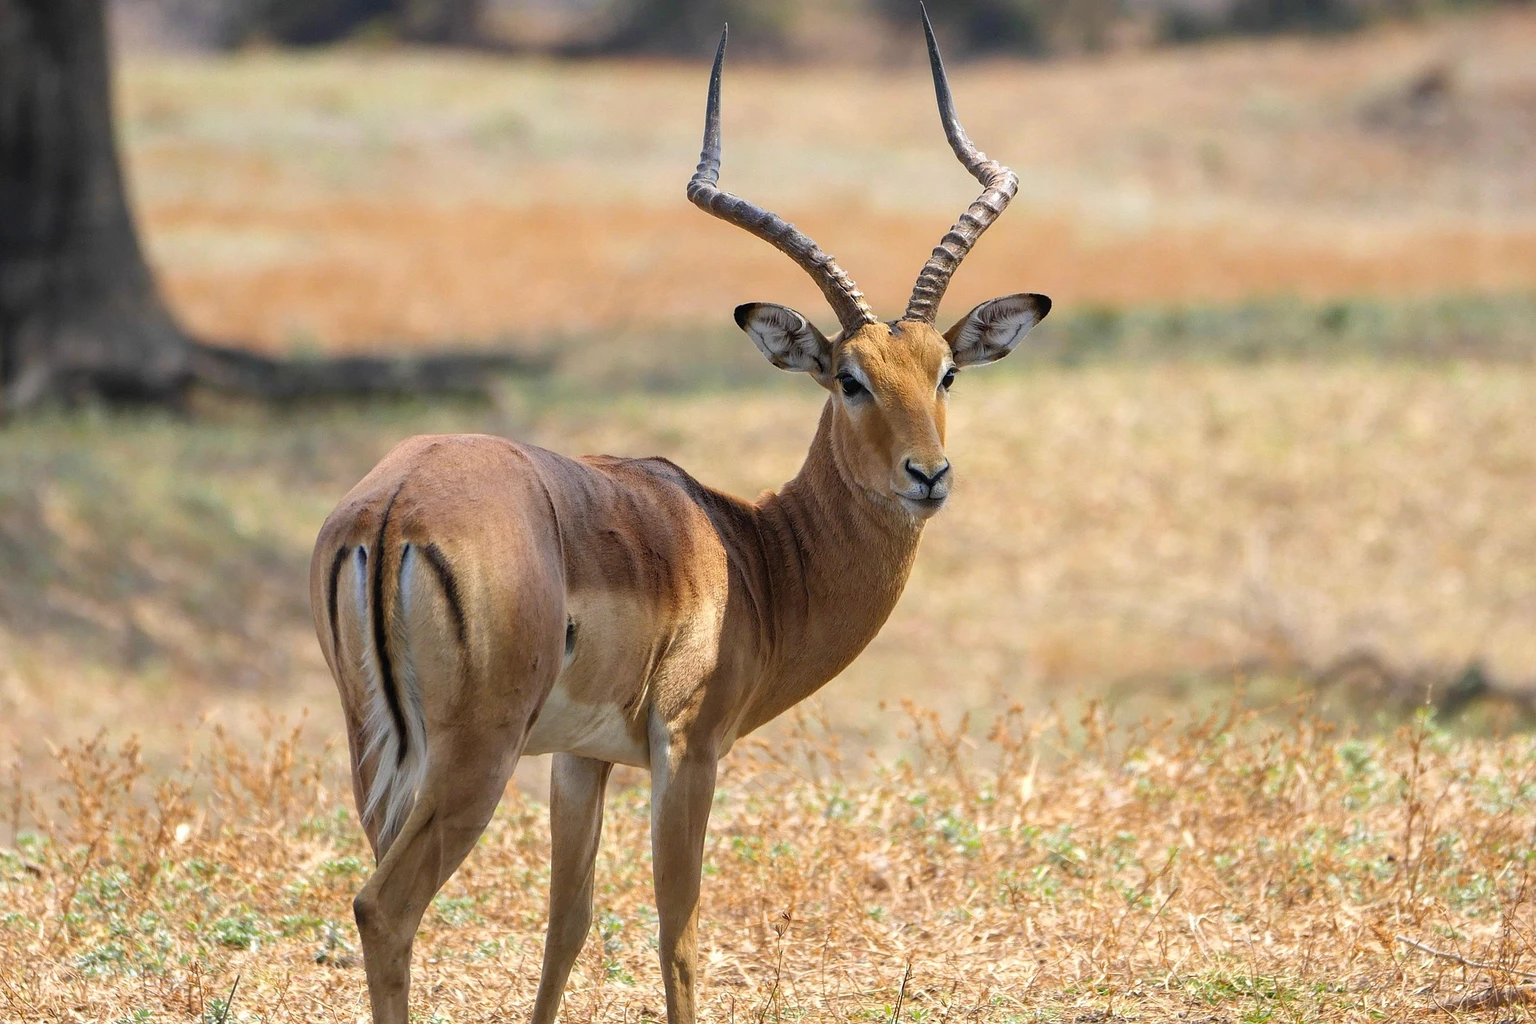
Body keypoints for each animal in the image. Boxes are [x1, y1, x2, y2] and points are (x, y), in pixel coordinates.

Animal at [309, 11, 1049, 1024]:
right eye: (848, 378)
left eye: (945, 372)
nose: (927, 475)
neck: (749, 553)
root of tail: (394, 505)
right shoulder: (688, 748)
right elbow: (681, 936)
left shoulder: (579, 760)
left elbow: (567, 927)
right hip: (473, 758)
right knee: (384, 906)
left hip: (379, 754)